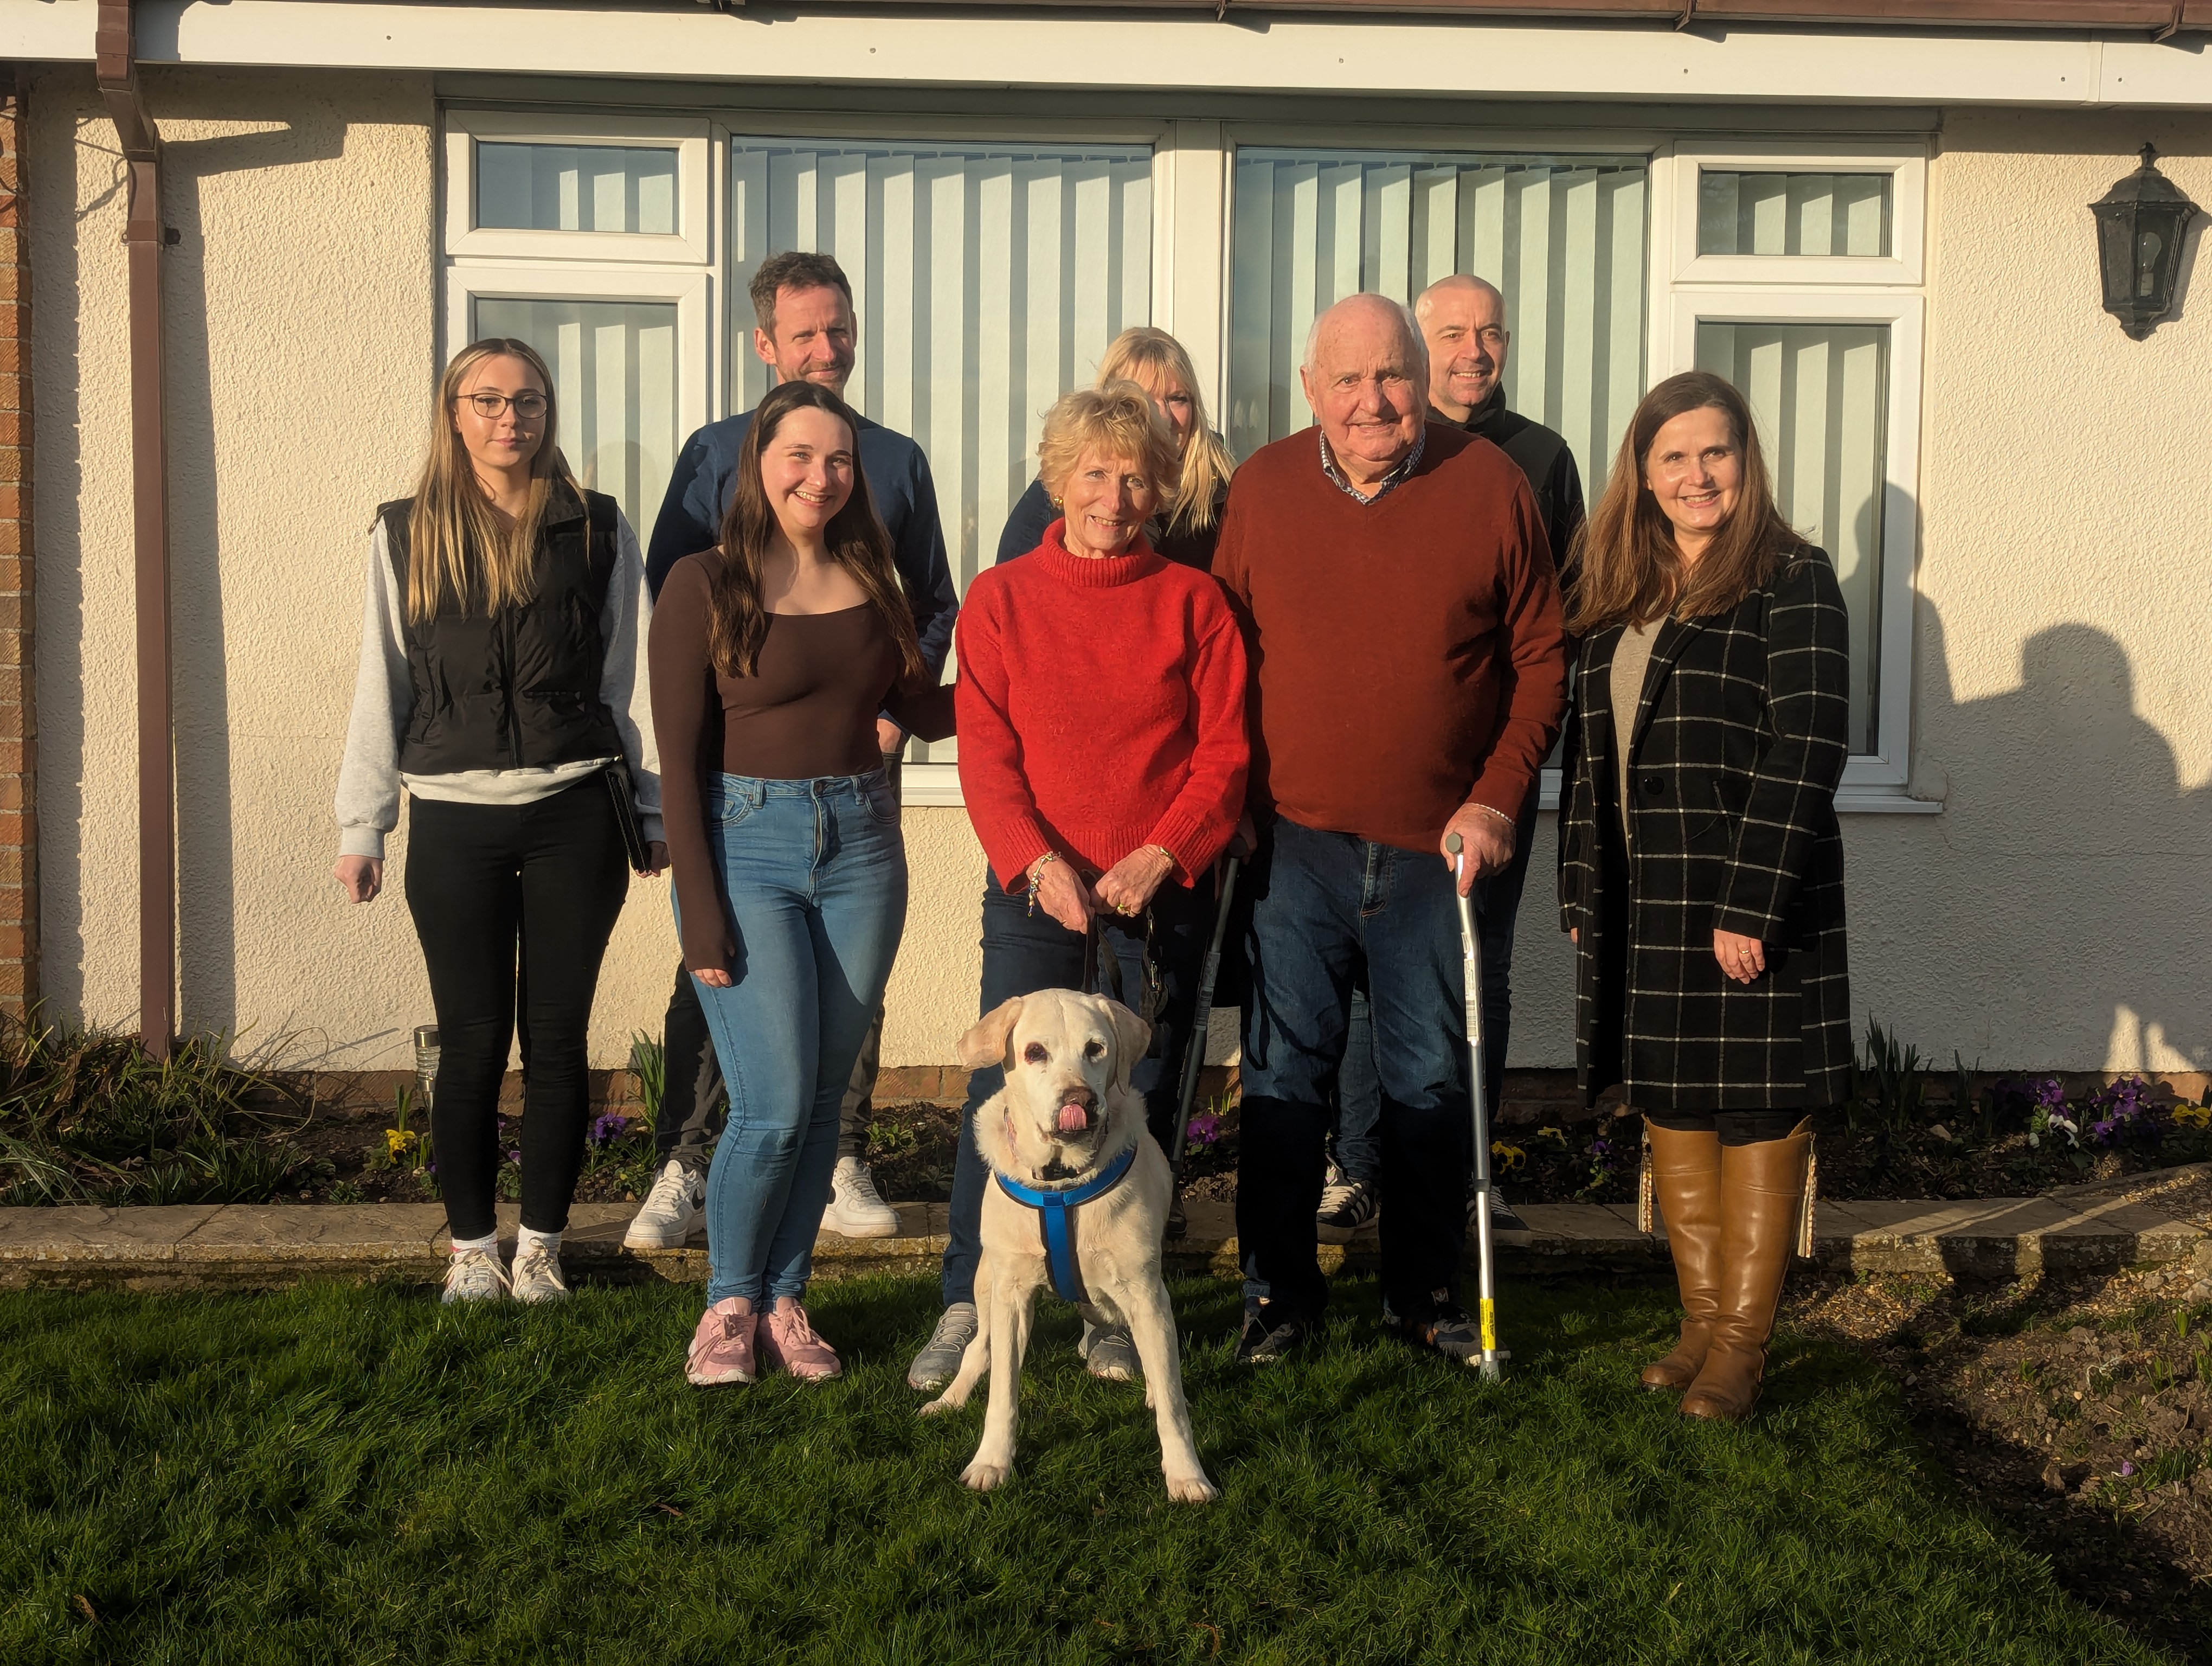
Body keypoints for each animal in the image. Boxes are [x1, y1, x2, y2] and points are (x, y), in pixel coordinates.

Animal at [924, 982, 1221, 1504]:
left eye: (1096, 1049)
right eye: (1034, 1052)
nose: (1080, 1099)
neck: (1062, 1181)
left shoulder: (1147, 1293)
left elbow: (1172, 1398)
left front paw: (1187, 1474)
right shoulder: (1012, 1295)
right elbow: (1002, 1390)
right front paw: (991, 1461)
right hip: (987, 1283)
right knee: (979, 1349)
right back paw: (949, 1399)